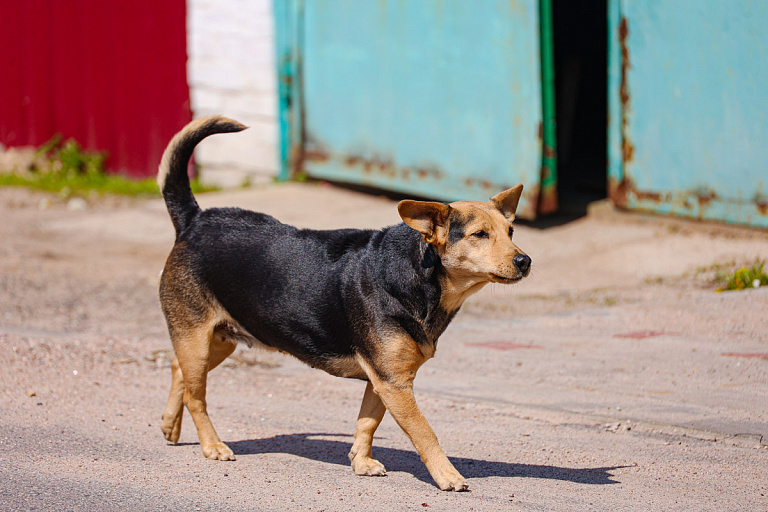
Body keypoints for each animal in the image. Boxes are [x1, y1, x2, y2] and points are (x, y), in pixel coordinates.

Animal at [156, 116, 528, 492]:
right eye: (479, 234)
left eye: (511, 232)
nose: (525, 261)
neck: (417, 277)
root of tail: (195, 219)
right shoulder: (394, 383)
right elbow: (424, 432)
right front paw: (447, 475)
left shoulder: (383, 380)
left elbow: (367, 423)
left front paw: (360, 462)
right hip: (196, 338)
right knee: (195, 395)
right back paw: (212, 445)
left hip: (219, 340)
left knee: (178, 370)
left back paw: (170, 425)